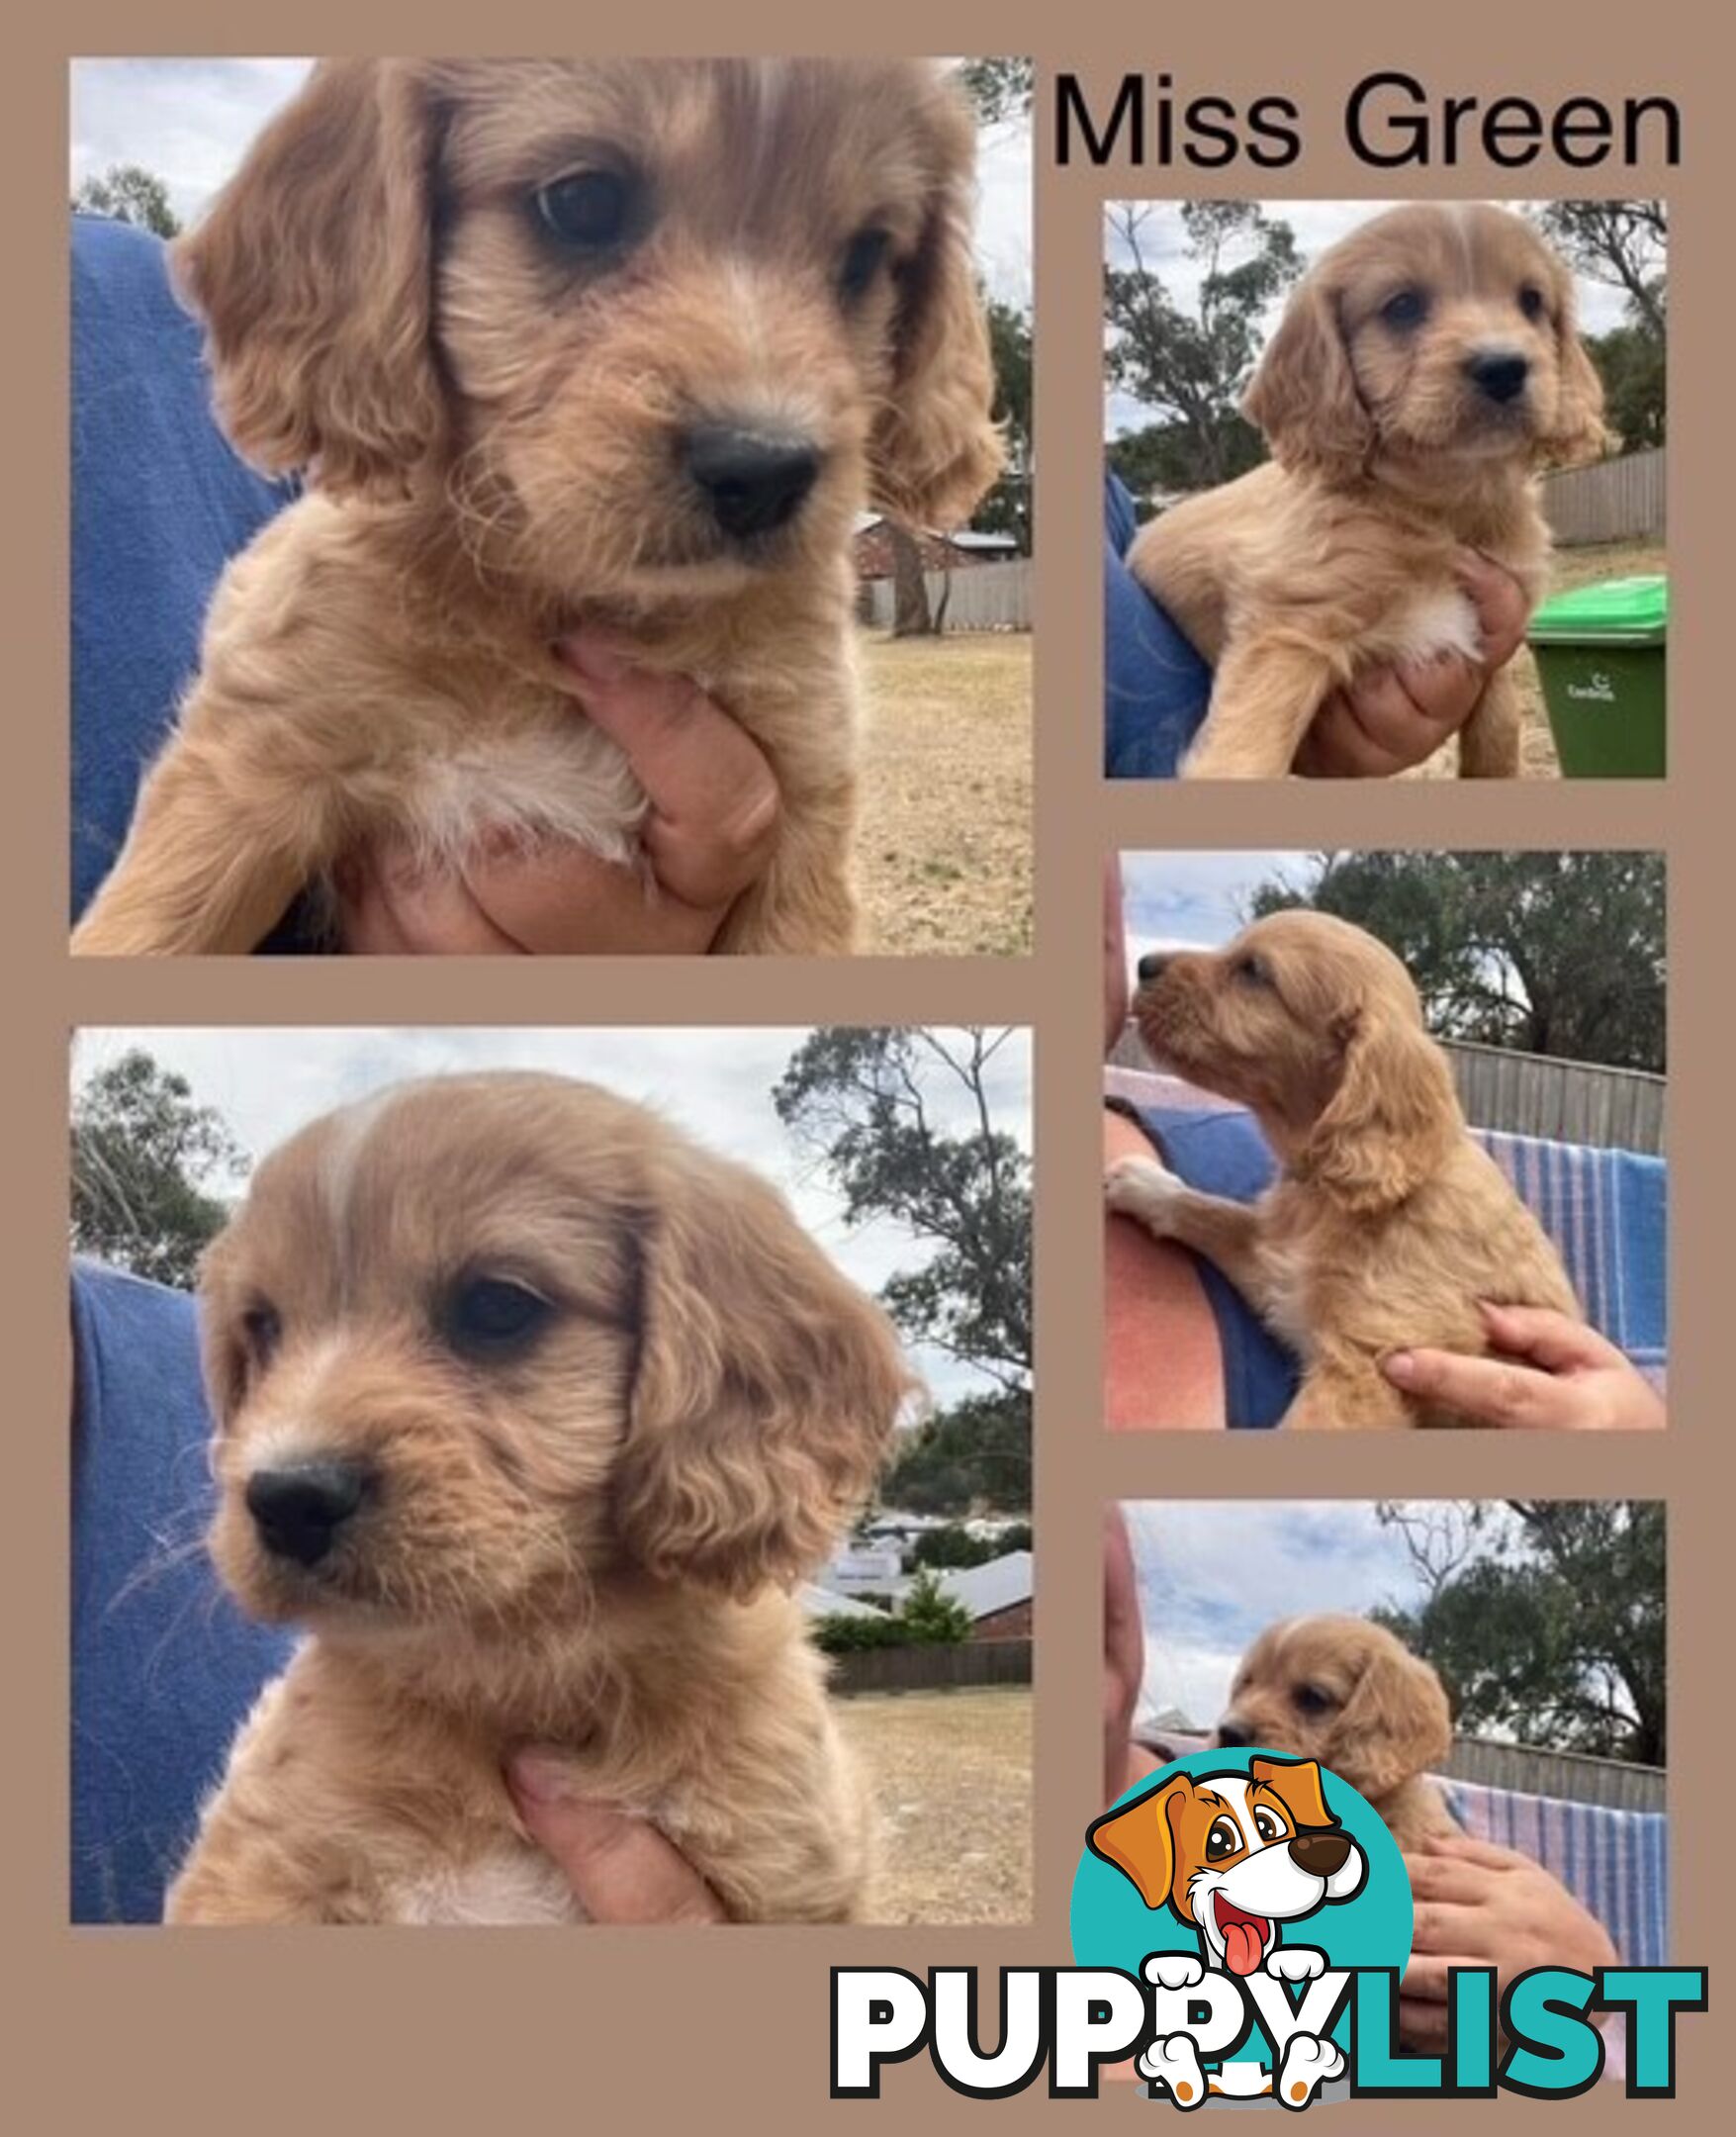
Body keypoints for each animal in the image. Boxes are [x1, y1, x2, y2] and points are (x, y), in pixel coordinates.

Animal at [74, 60, 1004, 953]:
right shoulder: (253, 759)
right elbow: (144, 929)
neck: (559, 593)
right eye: (583, 203)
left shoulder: (802, 795)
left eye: (865, 253)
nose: (766, 470)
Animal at [1103, 910, 1582, 1427]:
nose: (1144, 965)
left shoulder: (1367, 1365)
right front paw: (1148, 1185)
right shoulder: (1283, 1277)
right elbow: (1215, 1213)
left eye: (1254, 971)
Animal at [1129, 202, 1607, 778]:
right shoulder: (1288, 627)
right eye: (1402, 306)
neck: (1446, 508)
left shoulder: (1494, 634)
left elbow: (1497, 732)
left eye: (1531, 301)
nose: (1504, 367)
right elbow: (1243, 755)